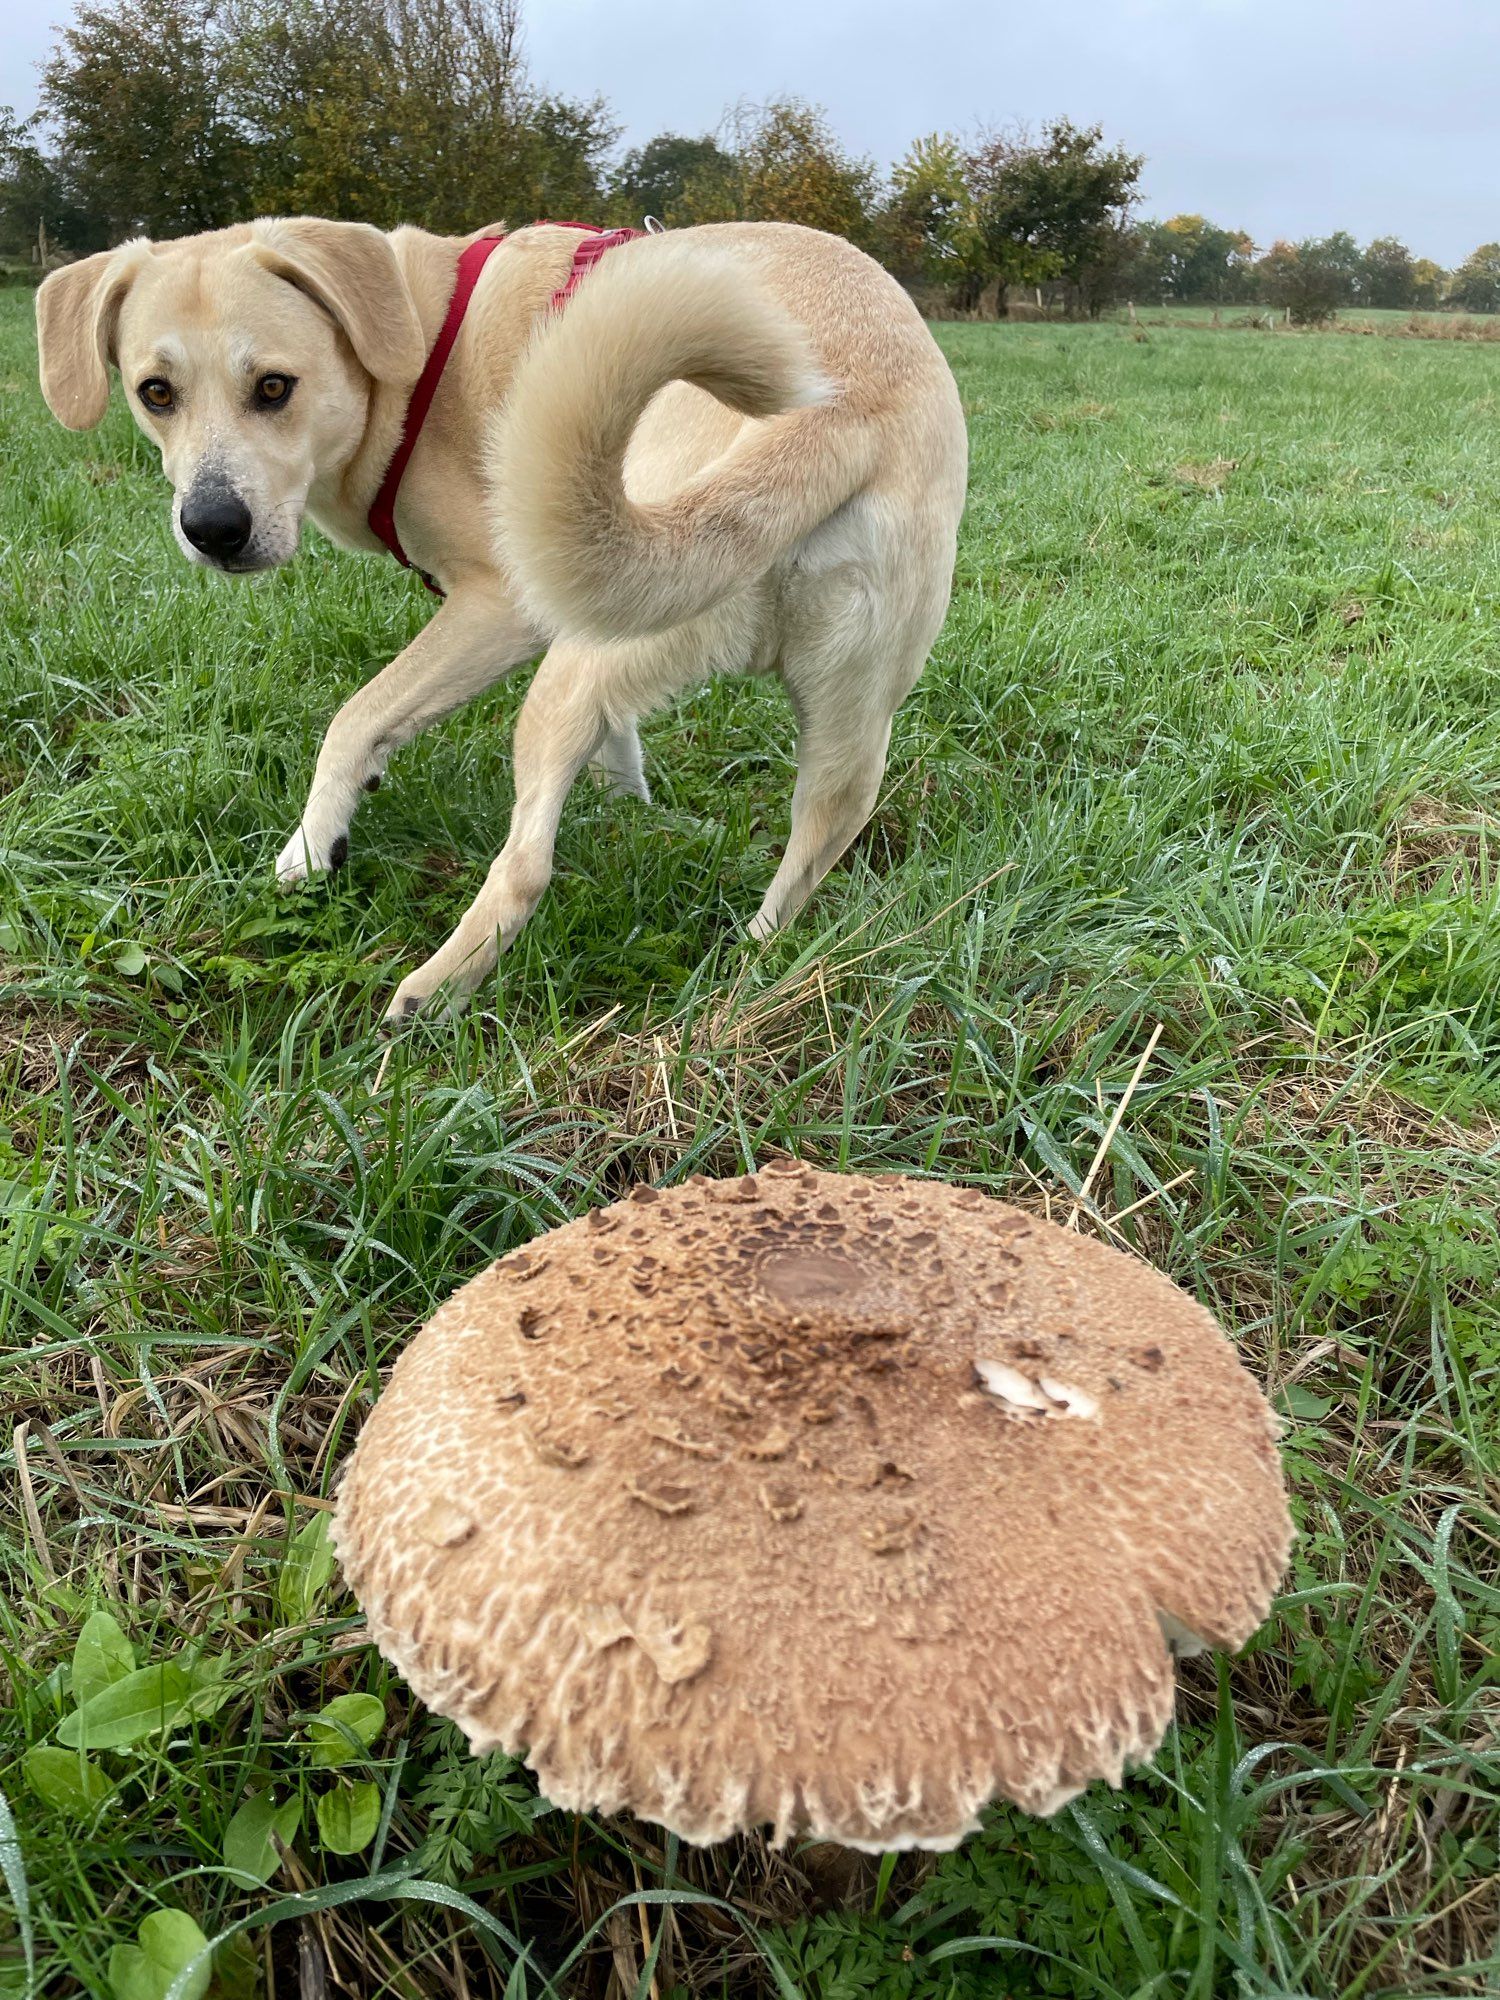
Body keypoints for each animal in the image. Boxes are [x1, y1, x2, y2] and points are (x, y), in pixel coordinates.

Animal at [41, 223, 976, 1016]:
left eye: (274, 387)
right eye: (155, 393)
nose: (212, 530)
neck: (419, 342)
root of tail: (838, 413)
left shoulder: (500, 606)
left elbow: (356, 720)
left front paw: (311, 848)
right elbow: (621, 737)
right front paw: (633, 805)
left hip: (567, 664)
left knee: (526, 867)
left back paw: (431, 994)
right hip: (836, 722)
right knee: (815, 844)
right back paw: (748, 970)